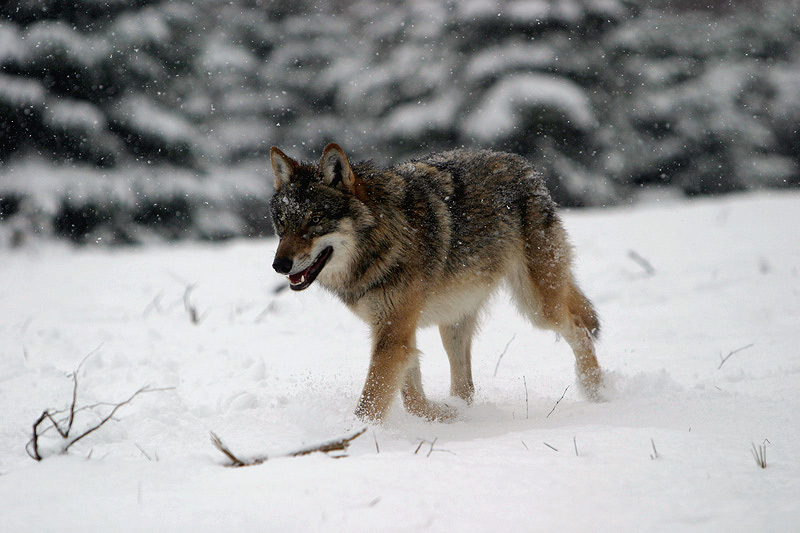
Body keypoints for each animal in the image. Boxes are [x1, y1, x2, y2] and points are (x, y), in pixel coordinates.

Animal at [268, 143, 600, 422]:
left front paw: (355, 438)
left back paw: (597, 391)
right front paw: (440, 417)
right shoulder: (397, 330)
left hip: (539, 307)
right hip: (453, 321)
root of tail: (521, 164)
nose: (279, 265)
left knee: (580, 329)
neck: (384, 238)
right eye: (282, 224)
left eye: (314, 221)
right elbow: (411, 396)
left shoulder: (393, 334)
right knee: (466, 386)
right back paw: (461, 411)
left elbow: (370, 403)